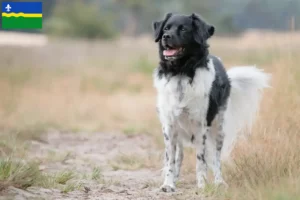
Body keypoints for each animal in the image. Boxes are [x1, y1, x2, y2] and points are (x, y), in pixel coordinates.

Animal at [151, 12, 270, 192]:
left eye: (184, 29)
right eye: (166, 28)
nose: (166, 37)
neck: (181, 73)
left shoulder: (200, 126)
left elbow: (201, 160)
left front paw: (202, 185)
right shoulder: (169, 126)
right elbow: (170, 159)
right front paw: (168, 184)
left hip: (218, 128)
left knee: (216, 158)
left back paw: (219, 182)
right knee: (180, 155)